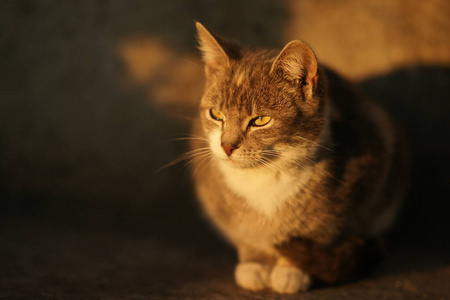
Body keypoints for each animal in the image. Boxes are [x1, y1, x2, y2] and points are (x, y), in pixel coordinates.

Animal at [188, 22, 406, 292]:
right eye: (216, 114)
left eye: (260, 120)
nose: (227, 146)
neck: (264, 179)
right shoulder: (221, 205)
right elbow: (245, 232)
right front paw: (254, 263)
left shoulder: (357, 182)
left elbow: (314, 234)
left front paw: (290, 270)